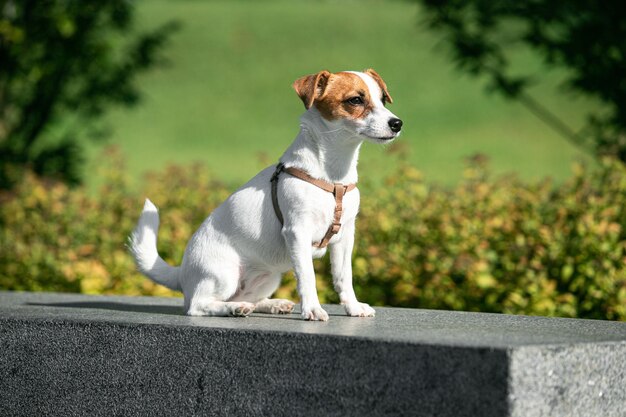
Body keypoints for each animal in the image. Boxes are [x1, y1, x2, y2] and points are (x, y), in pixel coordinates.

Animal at [128, 70, 400, 320]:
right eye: (355, 100)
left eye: (382, 100)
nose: (397, 123)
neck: (333, 177)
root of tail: (182, 271)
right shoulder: (297, 233)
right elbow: (307, 277)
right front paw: (312, 309)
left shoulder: (344, 238)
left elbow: (344, 277)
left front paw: (353, 307)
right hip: (224, 274)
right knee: (198, 305)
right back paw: (233, 308)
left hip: (270, 277)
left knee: (248, 297)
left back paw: (269, 304)